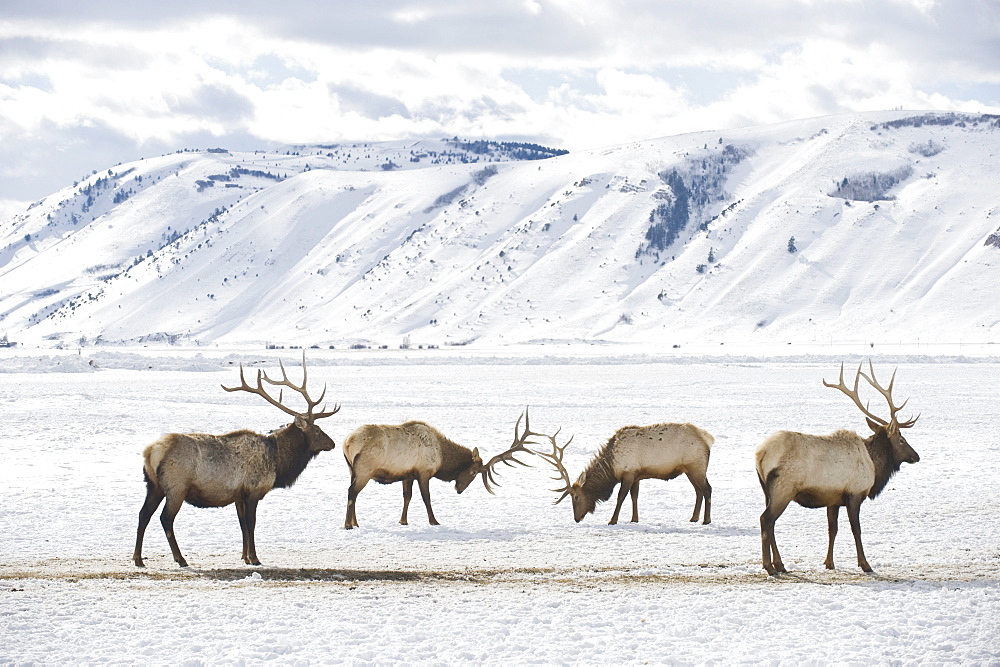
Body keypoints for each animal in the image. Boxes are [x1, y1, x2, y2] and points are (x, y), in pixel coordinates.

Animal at [132, 354, 340, 568]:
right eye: (317, 430)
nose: (332, 443)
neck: (278, 461)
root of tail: (151, 451)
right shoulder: (253, 491)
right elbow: (251, 524)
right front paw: (255, 558)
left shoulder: (239, 495)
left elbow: (242, 526)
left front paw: (245, 557)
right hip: (176, 486)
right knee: (165, 518)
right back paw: (180, 559)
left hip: (153, 485)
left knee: (143, 514)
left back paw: (138, 559)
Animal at [342, 410, 548, 528]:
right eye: (473, 471)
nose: (459, 489)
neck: (442, 457)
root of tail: (348, 442)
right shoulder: (424, 472)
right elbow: (426, 498)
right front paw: (434, 521)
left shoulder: (408, 474)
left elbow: (407, 497)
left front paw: (403, 521)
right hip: (365, 470)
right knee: (351, 492)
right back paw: (348, 525)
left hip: (352, 470)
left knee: (354, 493)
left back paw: (356, 523)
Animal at [536, 422, 716, 528]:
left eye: (576, 496)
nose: (576, 518)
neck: (611, 467)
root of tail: (708, 438)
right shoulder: (636, 475)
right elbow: (634, 496)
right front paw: (634, 519)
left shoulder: (628, 474)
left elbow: (620, 497)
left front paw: (612, 520)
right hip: (690, 470)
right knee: (698, 491)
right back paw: (693, 518)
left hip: (696, 466)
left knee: (707, 489)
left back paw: (706, 520)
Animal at [756, 362, 920, 576]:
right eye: (901, 439)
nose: (916, 456)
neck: (874, 465)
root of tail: (760, 454)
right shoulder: (854, 494)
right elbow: (856, 530)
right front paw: (865, 565)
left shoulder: (833, 499)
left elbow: (832, 529)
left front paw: (829, 563)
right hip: (783, 489)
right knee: (766, 519)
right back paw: (769, 567)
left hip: (767, 491)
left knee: (771, 523)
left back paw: (780, 565)